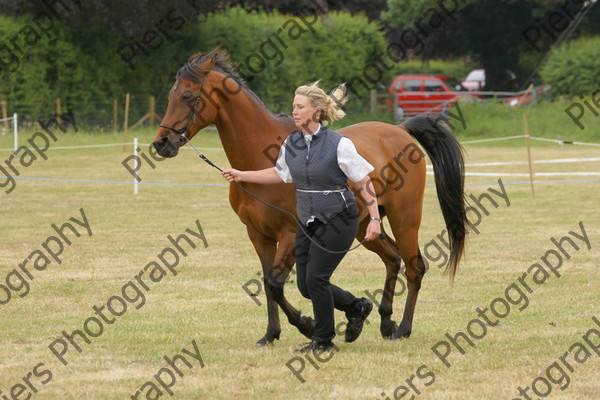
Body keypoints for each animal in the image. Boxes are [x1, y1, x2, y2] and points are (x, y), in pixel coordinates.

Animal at [151, 48, 468, 346]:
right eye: (171, 95)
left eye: (188, 96)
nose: (161, 143)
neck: (263, 157)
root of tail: (400, 131)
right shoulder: (258, 234)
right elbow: (268, 283)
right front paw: (271, 334)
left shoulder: (291, 233)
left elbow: (276, 283)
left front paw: (307, 325)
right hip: (366, 226)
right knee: (392, 259)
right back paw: (383, 322)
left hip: (405, 219)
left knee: (415, 267)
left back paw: (402, 328)